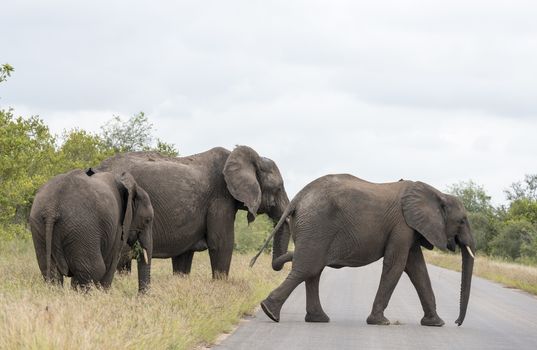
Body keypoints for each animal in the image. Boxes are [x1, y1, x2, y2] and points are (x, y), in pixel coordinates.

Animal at [253, 176, 476, 326]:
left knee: (313, 271)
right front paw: (380, 322)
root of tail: (298, 197)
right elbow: (396, 265)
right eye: (462, 221)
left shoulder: (410, 229)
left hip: (310, 227)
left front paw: (436, 323)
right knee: (308, 268)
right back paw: (270, 312)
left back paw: (318, 319)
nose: (457, 322)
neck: (437, 194)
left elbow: (417, 269)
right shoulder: (402, 226)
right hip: (316, 224)